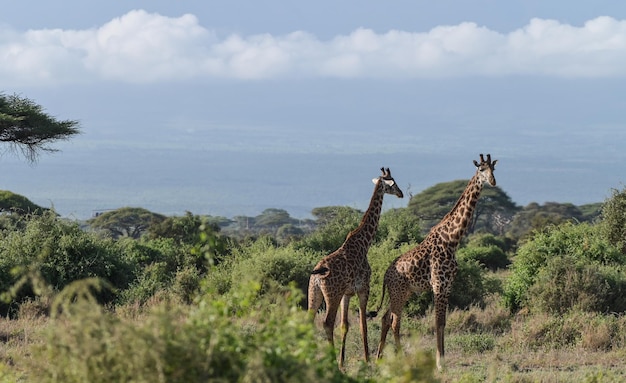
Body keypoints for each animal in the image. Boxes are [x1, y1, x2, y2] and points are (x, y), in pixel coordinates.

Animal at [308, 168, 404, 368]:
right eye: (394, 183)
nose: (401, 193)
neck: (364, 243)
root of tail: (318, 273)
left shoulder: (347, 294)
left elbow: (345, 325)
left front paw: (342, 362)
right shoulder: (363, 289)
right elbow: (363, 324)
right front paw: (367, 360)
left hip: (314, 292)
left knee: (308, 321)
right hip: (332, 295)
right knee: (327, 323)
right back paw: (328, 360)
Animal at [370, 153, 498, 372]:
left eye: (493, 169)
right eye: (481, 169)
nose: (492, 181)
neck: (452, 240)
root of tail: (386, 275)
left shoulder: (447, 286)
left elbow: (443, 322)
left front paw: (443, 359)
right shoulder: (438, 284)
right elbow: (437, 322)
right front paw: (439, 363)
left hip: (404, 293)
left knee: (386, 318)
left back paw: (379, 358)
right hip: (398, 292)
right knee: (393, 320)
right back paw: (398, 358)